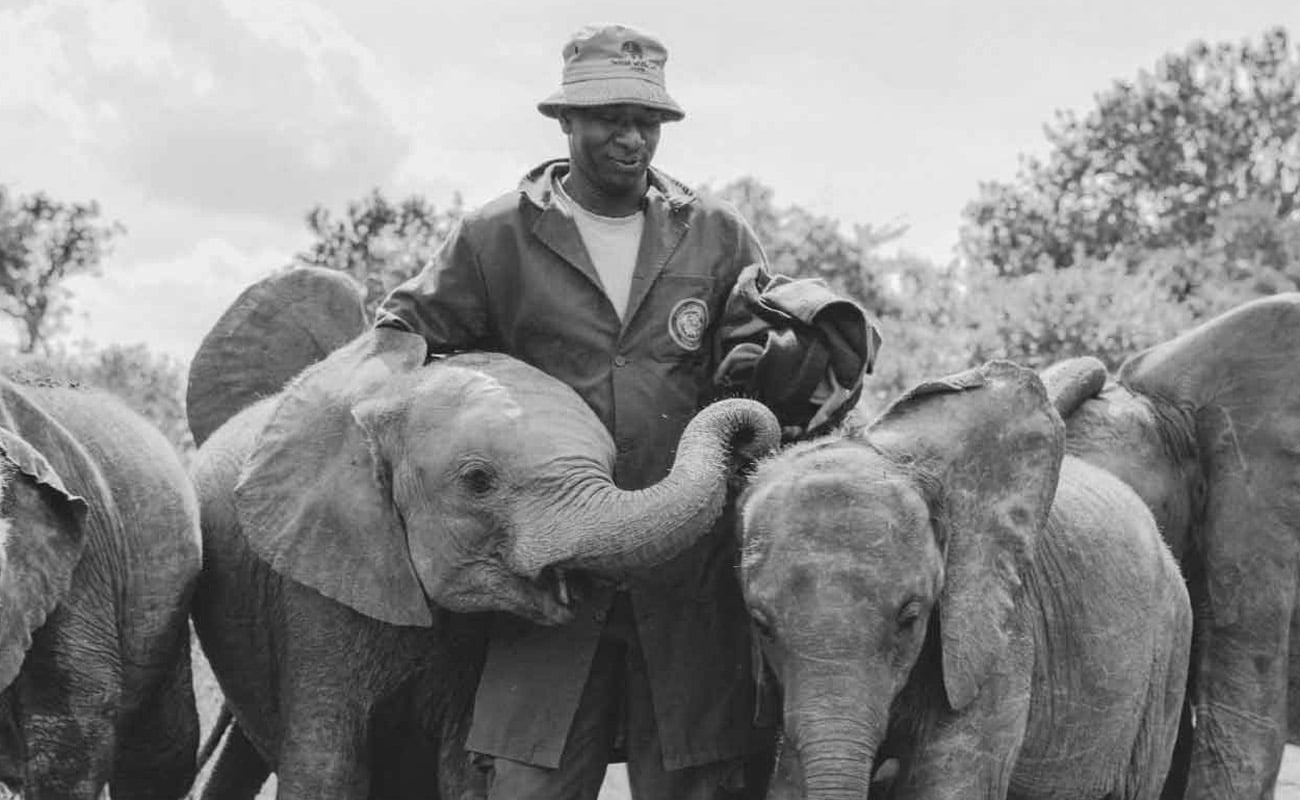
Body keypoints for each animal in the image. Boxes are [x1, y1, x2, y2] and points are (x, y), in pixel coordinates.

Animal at [738, 364, 1190, 800]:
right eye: (760, 626)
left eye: (910, 617)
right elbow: (791, 781)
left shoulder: (998, 634)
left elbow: (950, 783)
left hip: (1168, 659)